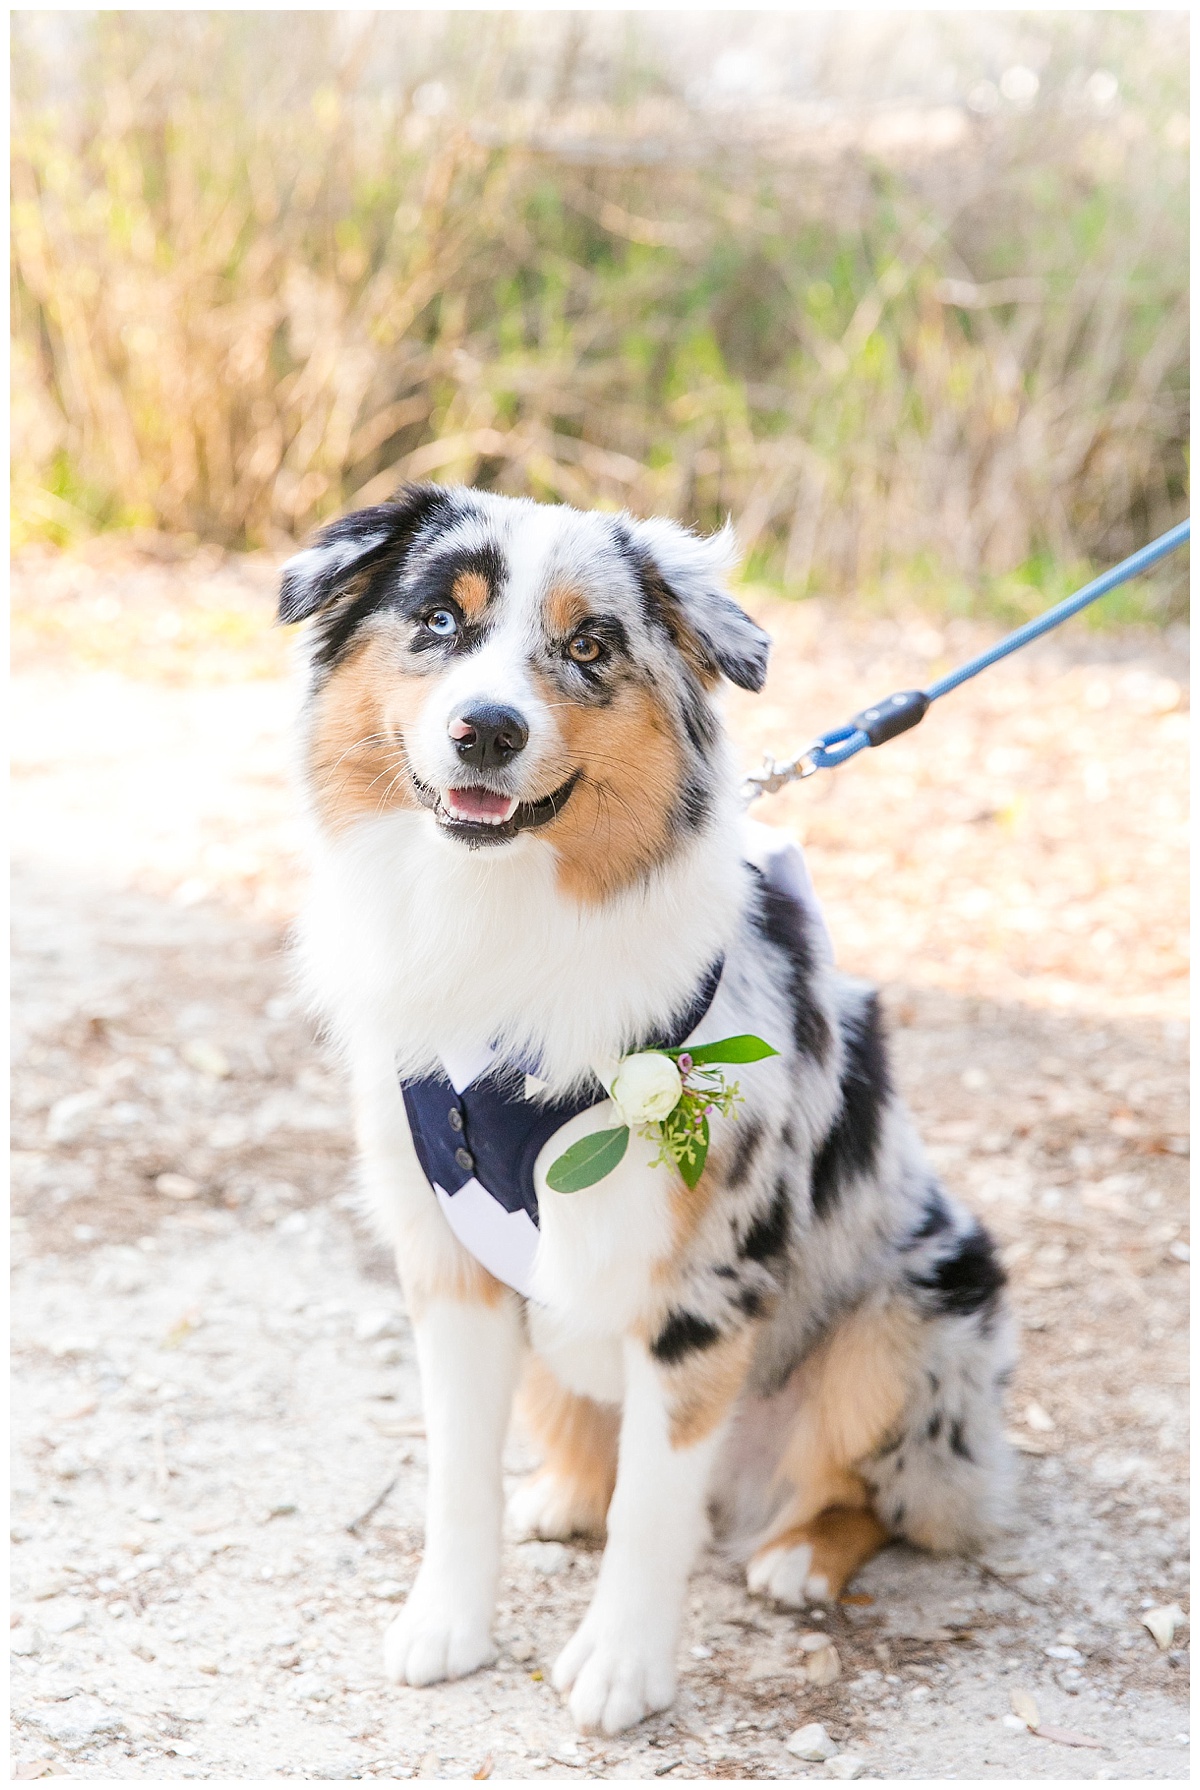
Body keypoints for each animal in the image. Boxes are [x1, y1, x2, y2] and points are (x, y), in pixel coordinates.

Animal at [279, 486, 1017, 1732]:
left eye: (589, 646)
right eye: (438, 618)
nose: (488, 730)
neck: (506, 915)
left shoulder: (706, 1290)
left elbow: (655, 1506)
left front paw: (620, 1665)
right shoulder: (449, 1264)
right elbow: (459, 1472)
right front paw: (449, 1621)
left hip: (919, 1308)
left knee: (883, 1489)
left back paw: (800, 1551)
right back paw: (563, 1491)